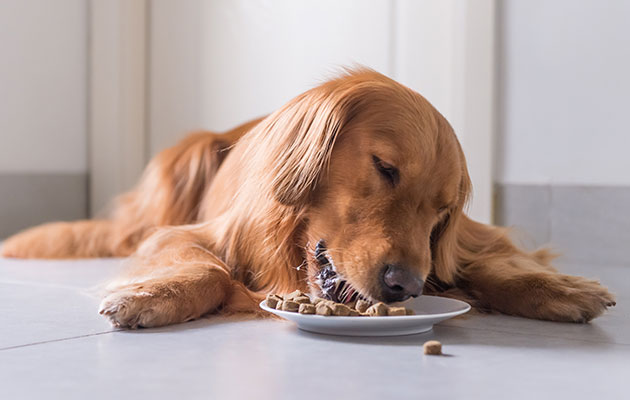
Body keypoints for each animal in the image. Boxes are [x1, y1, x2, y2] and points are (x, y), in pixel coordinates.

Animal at [2, 67, 616, 326]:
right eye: (385, 168)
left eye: (442, 213)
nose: (406, 286)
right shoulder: (185, 234)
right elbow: (210, 269)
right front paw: (153, 295)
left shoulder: (469, 239)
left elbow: (497, 262)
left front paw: (558, 288)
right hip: (186, 159)